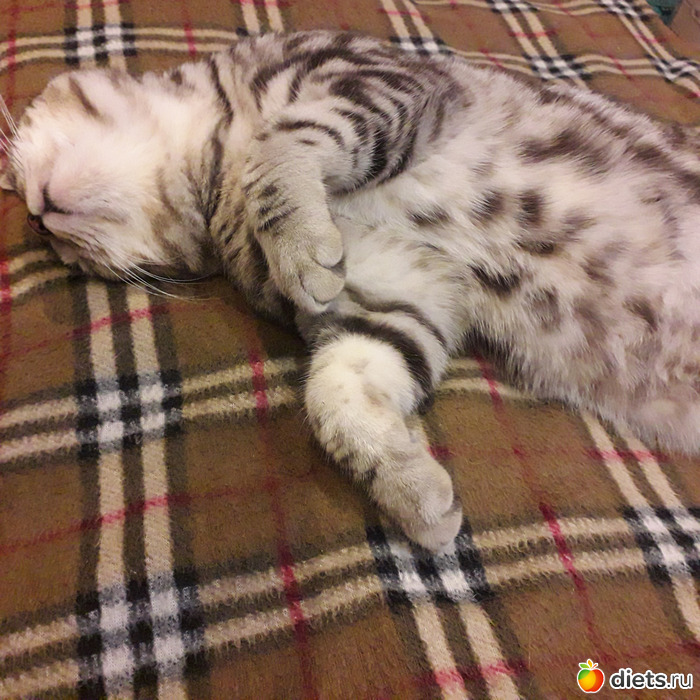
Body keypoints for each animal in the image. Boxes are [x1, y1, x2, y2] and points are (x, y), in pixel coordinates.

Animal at [1, 30, 699, 551]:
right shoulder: (394, 290)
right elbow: (336, 395)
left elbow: (279, 147)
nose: (37, 225)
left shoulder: (372, 79)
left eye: (11, 170)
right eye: (68, 261)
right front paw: (410, 490)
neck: (213, 157)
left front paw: (297, 239)